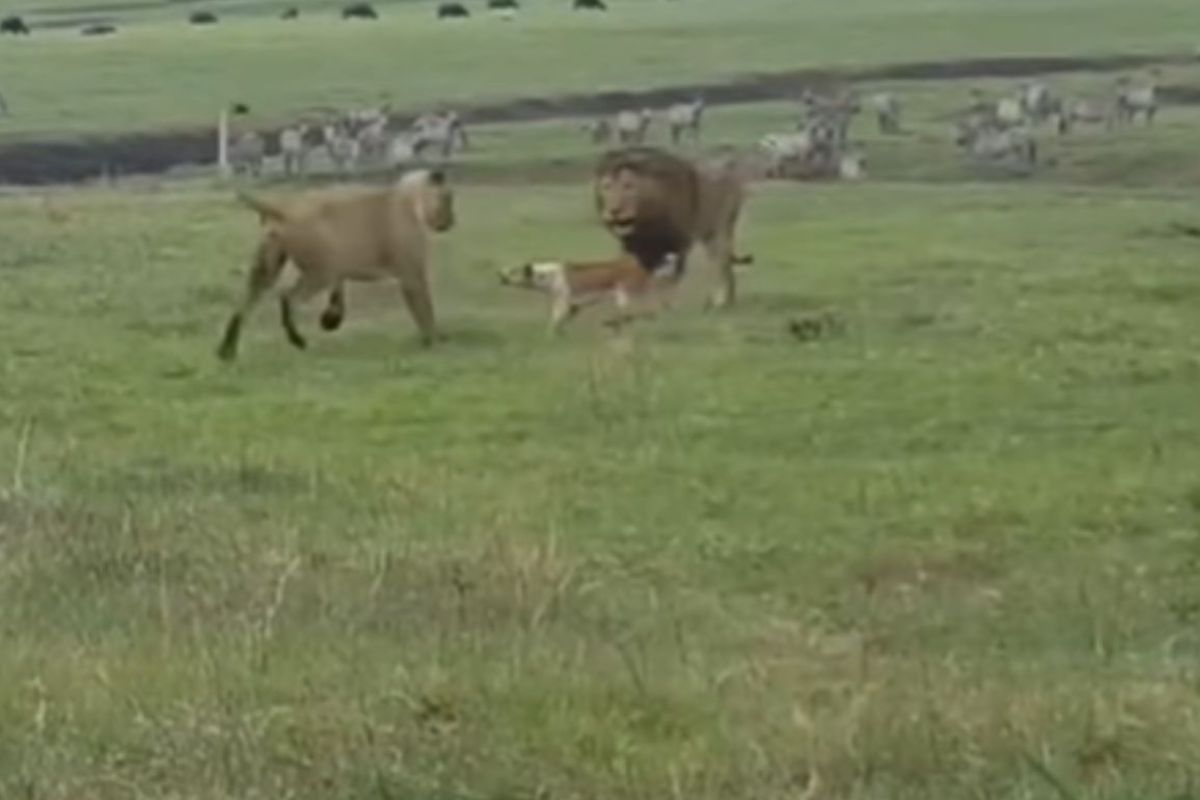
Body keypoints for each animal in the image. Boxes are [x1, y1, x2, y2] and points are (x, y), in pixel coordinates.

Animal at [216, 168, 454, 361]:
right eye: (448, 198)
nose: (452, 221)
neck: (409, 197)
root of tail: (283, 208)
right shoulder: (412, 275)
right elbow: (425, 310)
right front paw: (433, 340)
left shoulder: (339, 266)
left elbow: (338, 295)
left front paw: (330, 319)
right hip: (318, 273)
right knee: (288, 298)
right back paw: (297, 340)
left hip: (268, 268)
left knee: (242, 307)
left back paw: (227, 351)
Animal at [593, 146, 751, 309]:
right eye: (606, 186)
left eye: (628, 186)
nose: (614, 210)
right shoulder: (637, 250)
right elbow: (642, 281)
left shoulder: (678, 244)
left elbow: (670, 280)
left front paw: (669, 306)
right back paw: (729, 299)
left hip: (719, 229)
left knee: (720, 263)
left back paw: (720, 300)